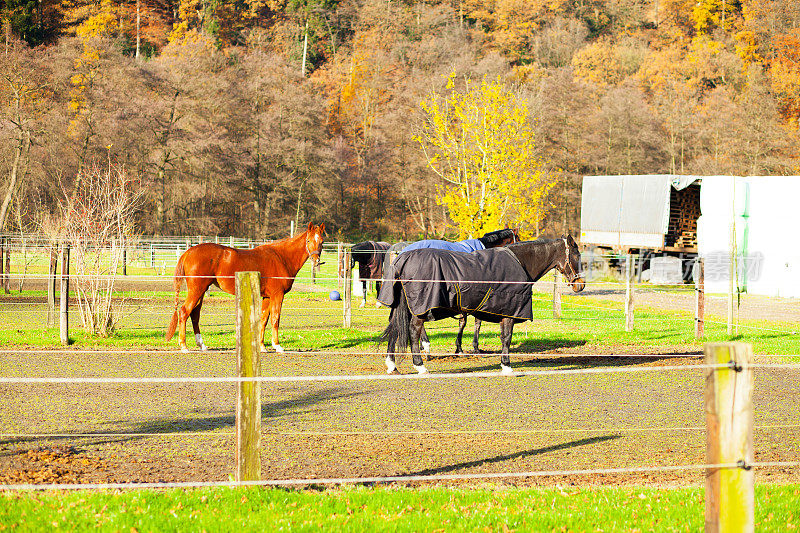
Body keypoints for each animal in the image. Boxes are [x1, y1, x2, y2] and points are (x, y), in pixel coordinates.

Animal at [166, 221, 324, 352]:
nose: (316, 260)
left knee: (194, 314)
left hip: (201, 290)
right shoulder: (277, 295)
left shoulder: (267, 296)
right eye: (308, 240)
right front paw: (277, 346)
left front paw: (262, 347)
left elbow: (263, 320)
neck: (281, 258)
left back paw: (201, 345)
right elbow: (275, 319)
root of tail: (188, 252)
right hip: (197, 290)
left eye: (321, 242)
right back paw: (184, 346)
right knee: (184, 312)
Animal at [378, 237, 584, 374]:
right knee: (413, 331)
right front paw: (506, 365)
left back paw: (392, 365)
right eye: (577, 254)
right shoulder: (508, 313)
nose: (580, 285)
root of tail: (402, 258)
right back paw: (420, 365)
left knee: (395, 328)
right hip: (420, 308)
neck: (521, 262)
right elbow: (506, 338)